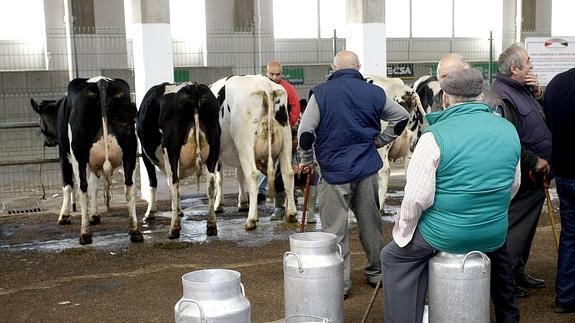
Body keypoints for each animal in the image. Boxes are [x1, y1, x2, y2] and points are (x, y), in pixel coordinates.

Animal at [30, 78, 143, 246]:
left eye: (40, 120)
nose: (47, 142)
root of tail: (102, 82)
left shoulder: (64, 155)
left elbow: (68, 185)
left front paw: (64, 216)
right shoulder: (94, 165)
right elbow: (94, 187)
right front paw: (95, 215)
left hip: (79, 155)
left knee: (82, 189)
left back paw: (85, 233)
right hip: (129, 152)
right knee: (129, 187)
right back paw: (135, 231)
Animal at [137, 82, 223, 239]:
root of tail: (193, 87)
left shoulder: (146, 155)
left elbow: (154, 182)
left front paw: (150, 213)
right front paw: (178, 210)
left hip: (171, 147)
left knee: (175, 184)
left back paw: (174, 229)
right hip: (215, 144)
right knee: (211, 185)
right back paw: (211, 226)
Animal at [209, 75, 296, 230]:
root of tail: (265, 84)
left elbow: (219, 178)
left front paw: (218, 205)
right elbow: (239, 175)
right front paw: (242, 202)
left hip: (244, 142)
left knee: (252, 175)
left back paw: (251, 220)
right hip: (286, 140)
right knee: (288, 173)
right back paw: (291, 213)